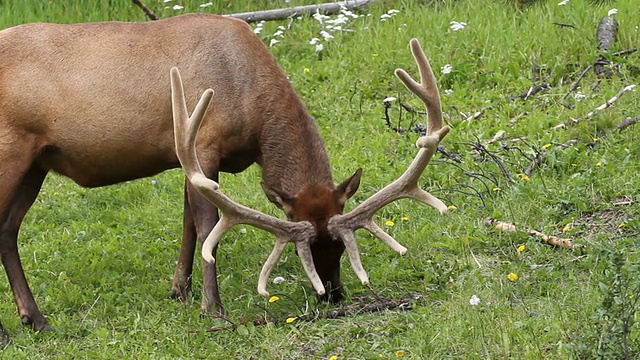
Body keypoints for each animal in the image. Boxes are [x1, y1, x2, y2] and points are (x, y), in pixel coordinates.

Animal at [0, 11, 450, 338]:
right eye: (301, 251)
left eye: (339, 247)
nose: (334, 296)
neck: (251, 107)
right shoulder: (203, 144)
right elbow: (207, 226)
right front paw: (212, 308)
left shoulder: (188, 157)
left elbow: (187, 223)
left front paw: (179, 290)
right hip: (11, 153)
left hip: (35, 165)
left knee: (8, 230)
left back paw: (34, 318)